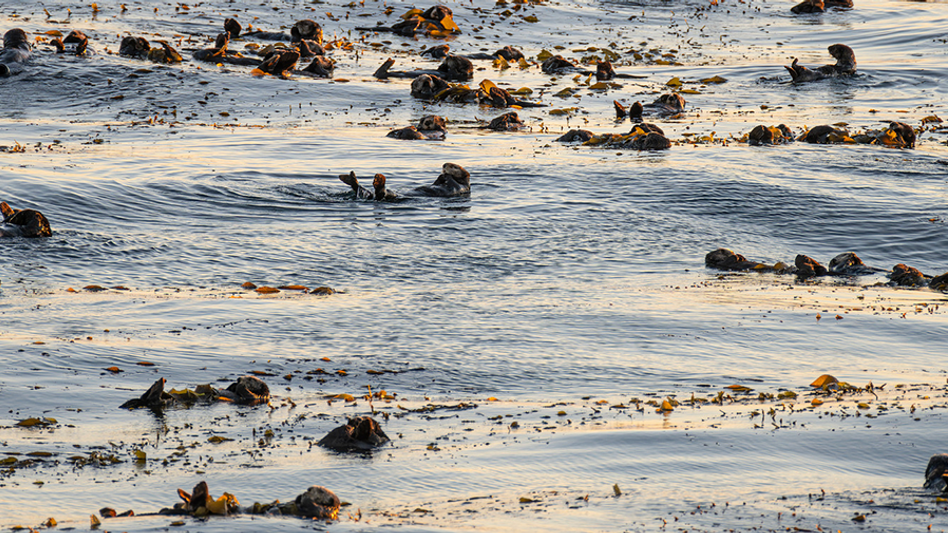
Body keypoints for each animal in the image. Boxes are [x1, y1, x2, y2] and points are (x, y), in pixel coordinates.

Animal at [339, 163, 471, 200]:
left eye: (454, 166)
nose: (444, 165)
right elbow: (436, 183)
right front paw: (440, 176)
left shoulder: (461, 186)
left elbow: (451, 181)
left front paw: (444, 175)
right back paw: (351, 178)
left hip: (389, 195)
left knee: (381, 193)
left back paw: (378, 180)